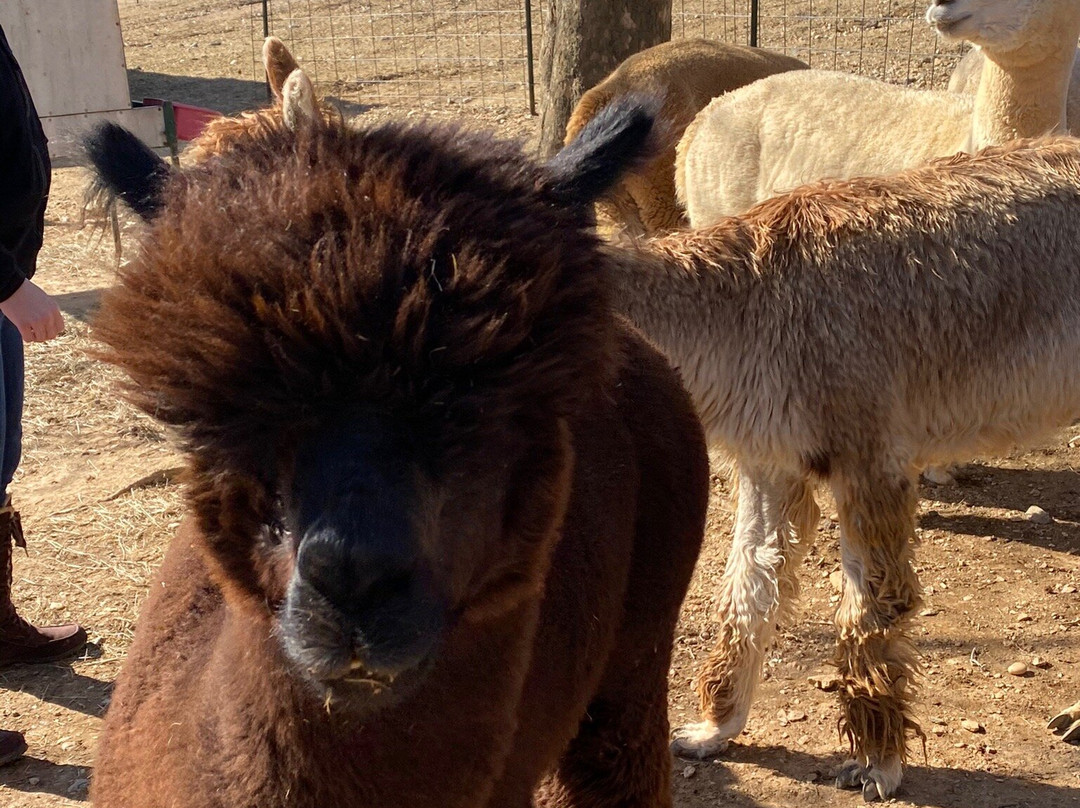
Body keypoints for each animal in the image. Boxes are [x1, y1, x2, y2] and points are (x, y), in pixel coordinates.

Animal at [602, 136, 1080, 800]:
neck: (746, 311)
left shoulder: (870, 456)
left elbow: (870, 613)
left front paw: (877, 766)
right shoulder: (772, 461)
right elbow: (749, 587)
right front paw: (712, 730)